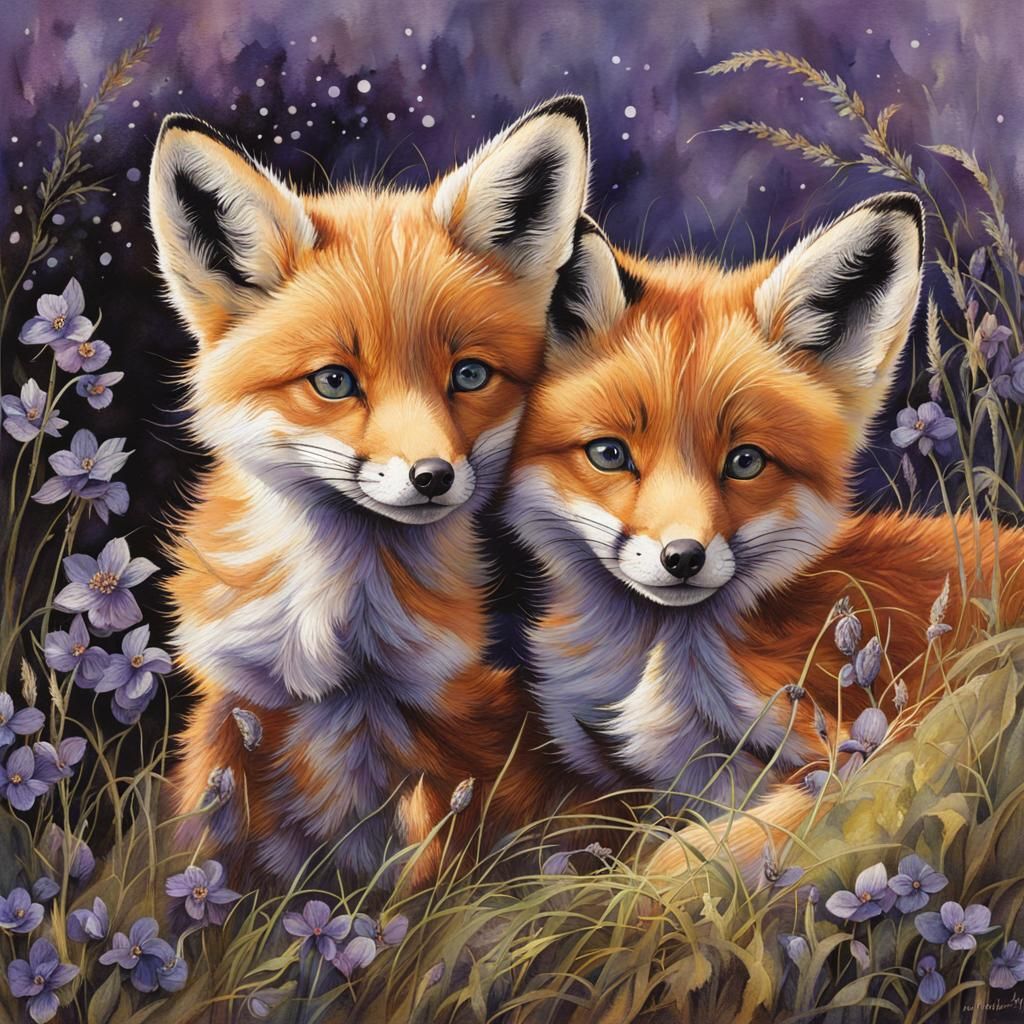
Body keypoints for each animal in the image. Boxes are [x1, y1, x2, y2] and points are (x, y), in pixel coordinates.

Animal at [146, 97, 593, 885]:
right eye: (333, 380)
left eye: (470, 375)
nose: (433, 477)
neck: (343, 660)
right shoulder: (231, 716)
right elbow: (207, 857)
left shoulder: (436, 750)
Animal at [504, 194, 1024, 881]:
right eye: (610, 454)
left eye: (745, 461)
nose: (682, 558)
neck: (669, 663)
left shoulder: (866, 741)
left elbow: (691, 858)